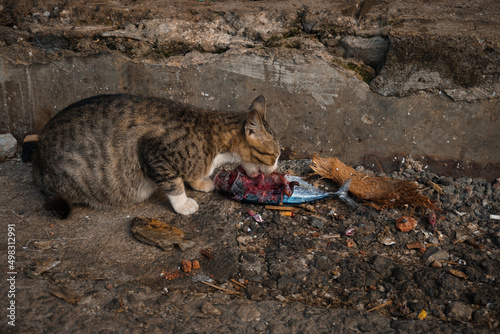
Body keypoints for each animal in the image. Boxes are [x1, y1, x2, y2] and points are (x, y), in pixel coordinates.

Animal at [32, 95, 282, 218]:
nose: (277, 166)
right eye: (275, 155)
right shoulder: (153, 152)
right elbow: (173, 183)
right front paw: (183, 203)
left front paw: (200, 181)